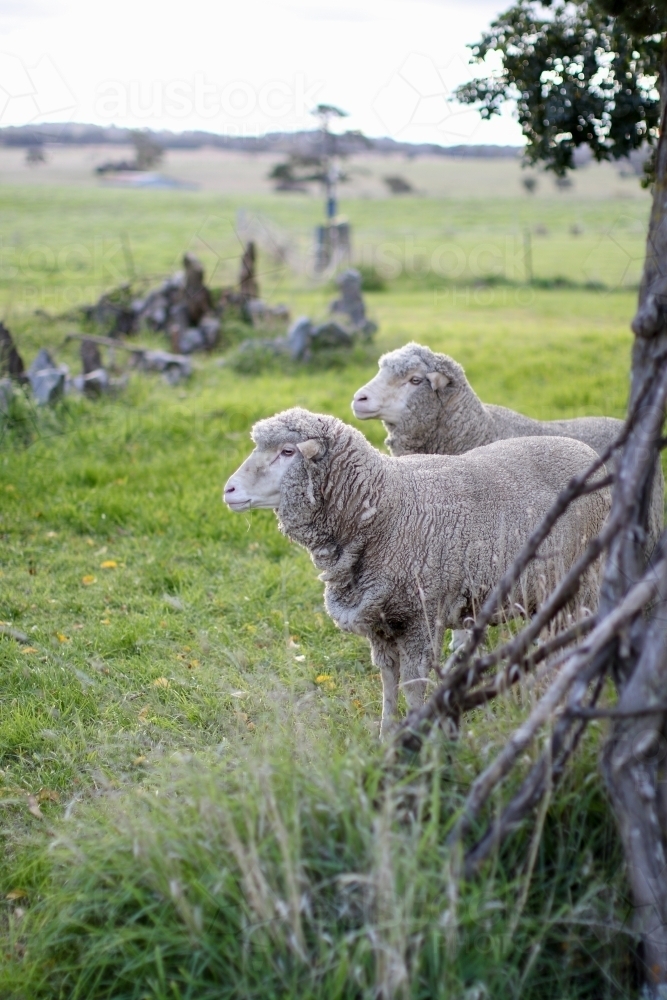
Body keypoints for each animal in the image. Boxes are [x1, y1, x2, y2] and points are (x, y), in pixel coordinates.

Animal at [224, 406, 612, 736]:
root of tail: (585, 451)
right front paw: (386, 736)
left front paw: (413, 741)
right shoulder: (381, 623)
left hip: (584, 580)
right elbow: (388, 682)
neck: (385, 504)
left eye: (288, 452)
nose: (228, 490)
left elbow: (413, 686)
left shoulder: (419, 616)